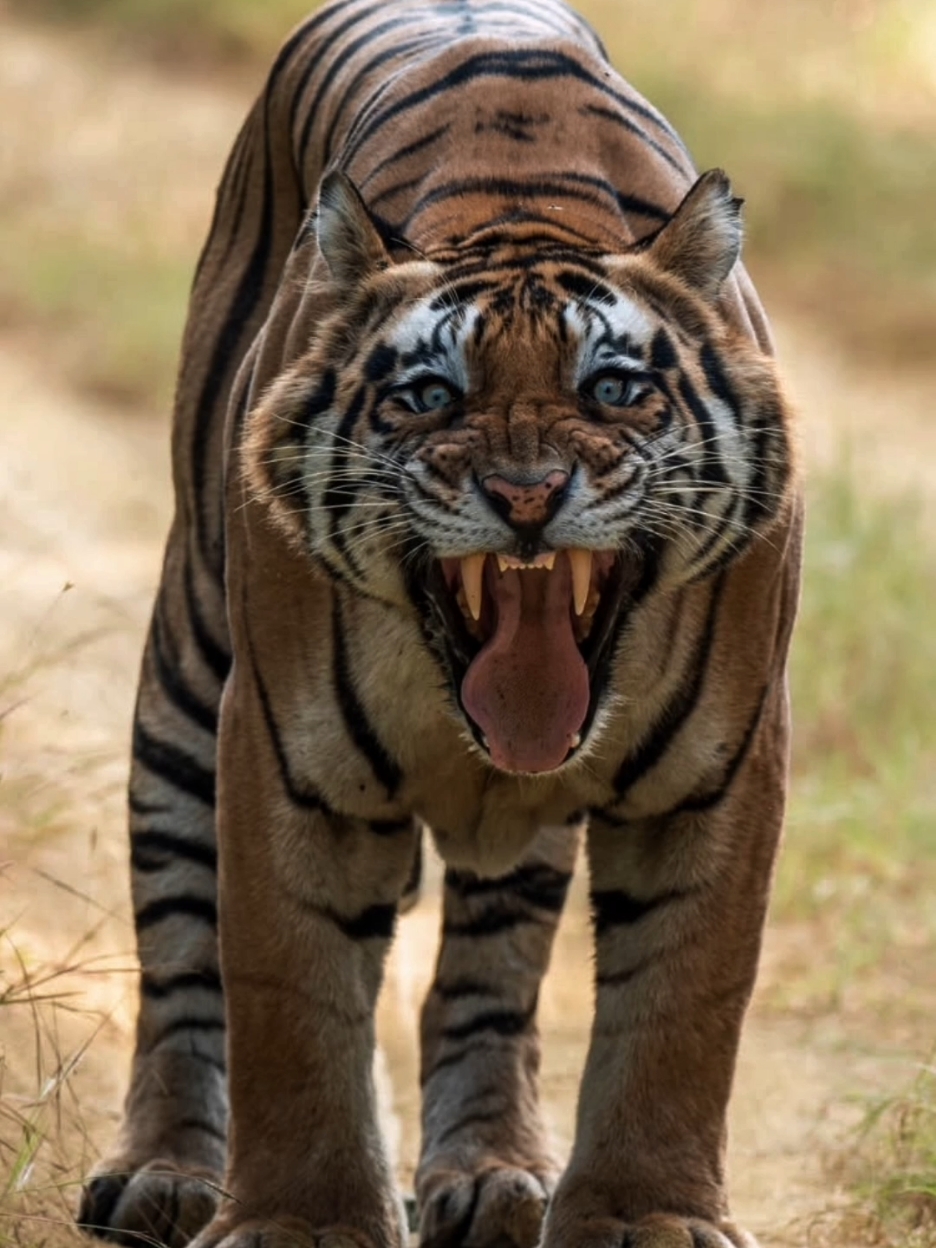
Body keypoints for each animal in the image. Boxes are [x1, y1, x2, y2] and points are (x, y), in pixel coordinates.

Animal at [77, 2, 803, 1248]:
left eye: (614, 390)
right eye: (429, 398)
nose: (527, 494)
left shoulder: (721, 768)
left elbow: (687, 1001)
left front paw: (648, 1217)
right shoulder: (284, 754)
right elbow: (287, 992)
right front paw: (304, 1222)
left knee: (487, 981)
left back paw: (492, 1174)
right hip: (186, 671)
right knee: (178, 940)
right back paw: (164, 1172)